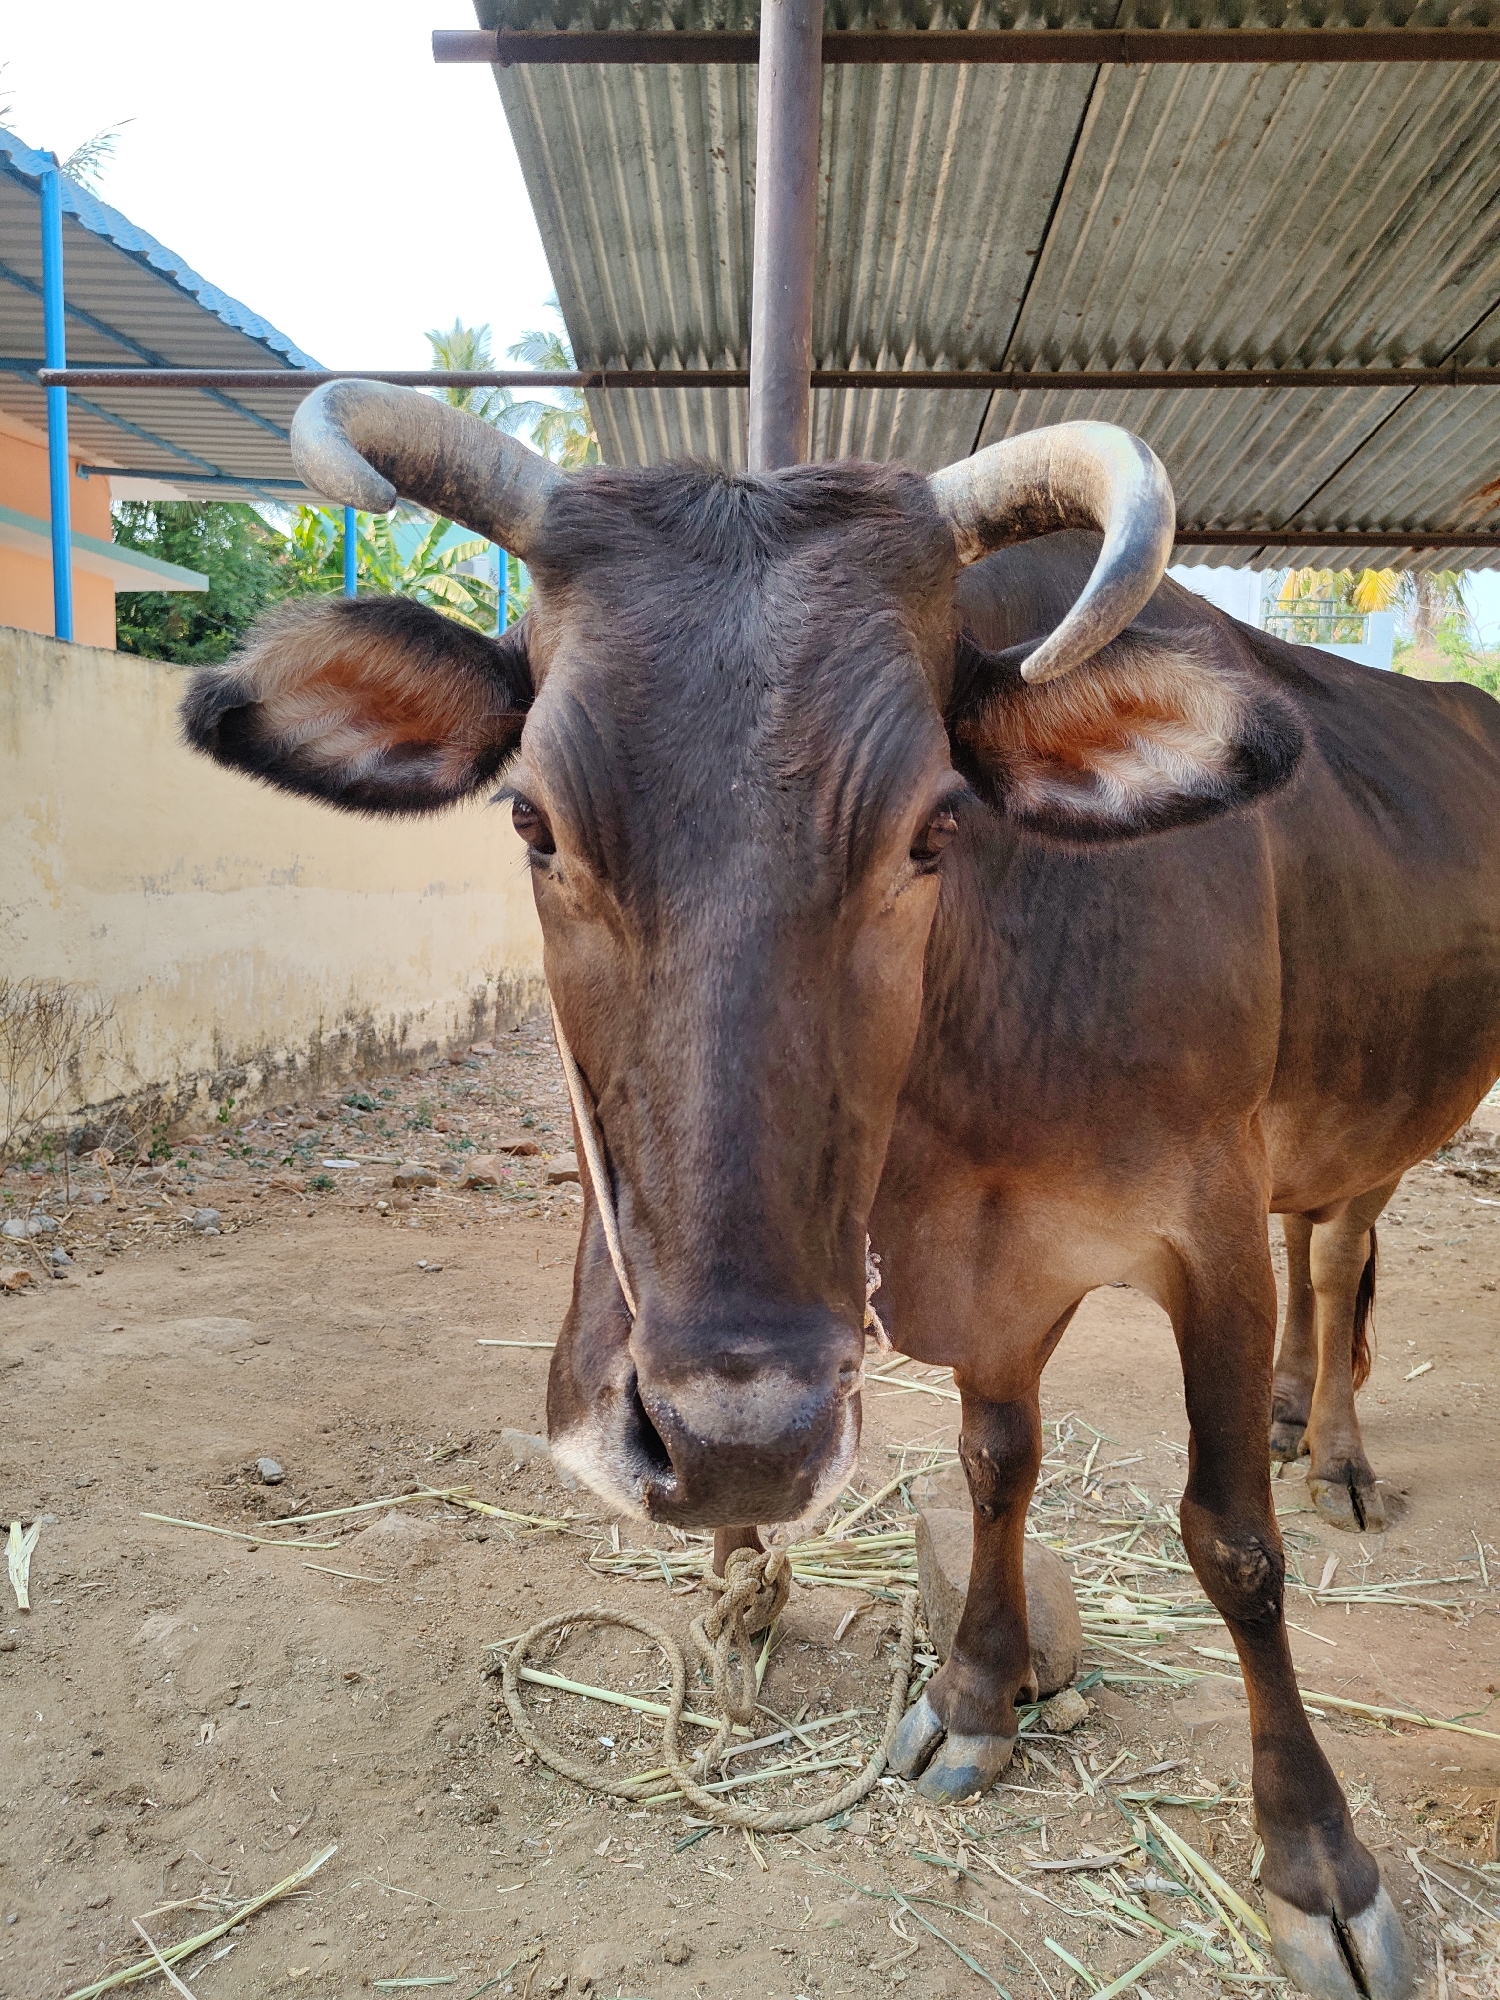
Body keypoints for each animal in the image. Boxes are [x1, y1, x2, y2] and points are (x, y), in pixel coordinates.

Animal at [181, 380, 1500, 2000]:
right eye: (532, 822)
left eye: (935, 827)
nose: (733, 1443)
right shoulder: (1005, 1278)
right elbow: (999, 1466)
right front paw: (982, 1696)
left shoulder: (1208, 1230)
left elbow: (1233, 1543)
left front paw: (1316, 1863)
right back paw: (1308, 1412)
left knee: (1337, 1248)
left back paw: (1341, 1452)